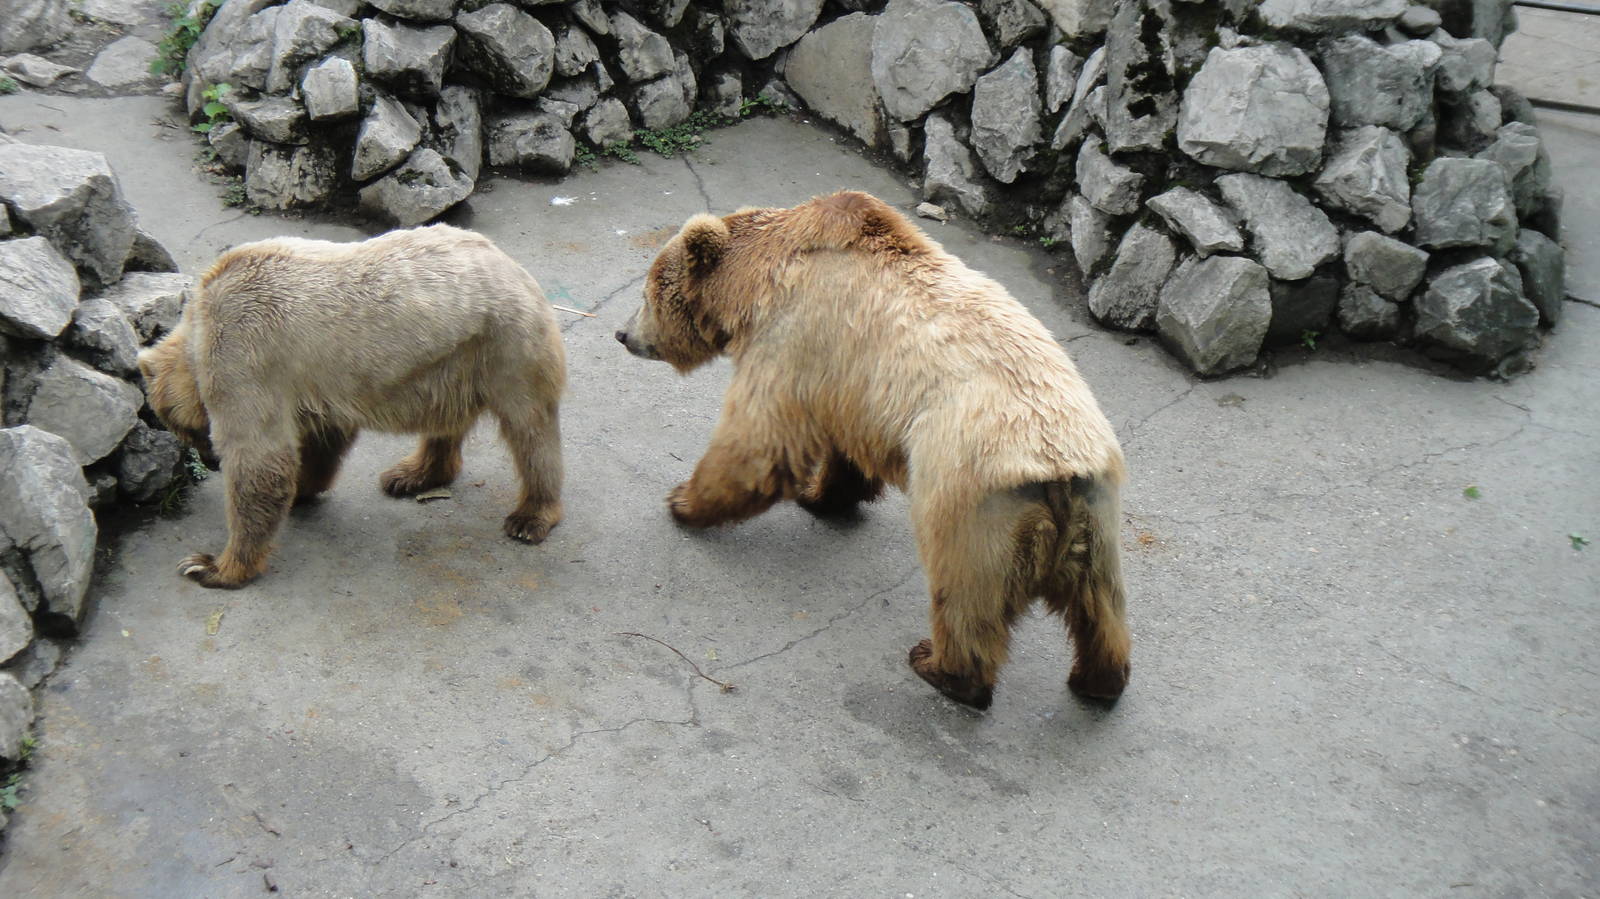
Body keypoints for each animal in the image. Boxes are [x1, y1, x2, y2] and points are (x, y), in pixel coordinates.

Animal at [138, 224, 566, 589]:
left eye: (186, 429)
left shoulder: (245, 353)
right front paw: (302, 489)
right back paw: (412, 474)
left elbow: (260, 457)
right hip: (448, 364)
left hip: (506, 346)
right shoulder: (310, 384)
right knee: (447, 422)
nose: (211, 462)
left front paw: (209, 565)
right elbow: (320, 441)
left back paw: (530, 516)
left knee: (530, 432)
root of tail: (513, 266)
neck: (199, 327)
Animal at [615, 191, 1131, 710]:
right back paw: (1099, 678)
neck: (754, 281)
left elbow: (759, 442)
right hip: (1096, 515)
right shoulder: (848, 385)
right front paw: (822, 496)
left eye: (646, 294)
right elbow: (840, 450)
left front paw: (683, 500)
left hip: (973, 498)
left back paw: (941, 667)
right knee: (1100, 602)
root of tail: (1059, 470)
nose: (622, 334)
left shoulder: (794, 337)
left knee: (965, 591)